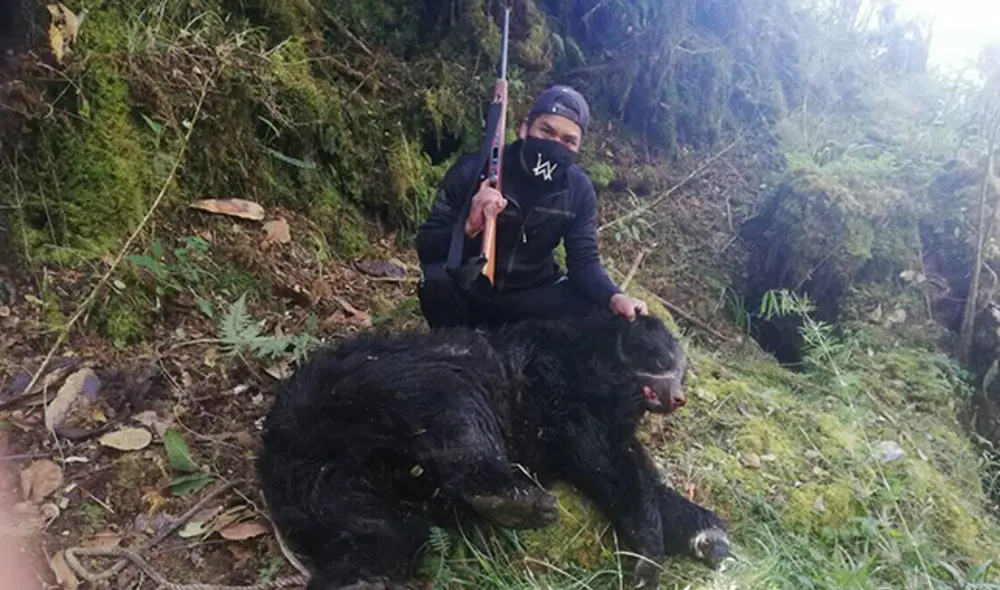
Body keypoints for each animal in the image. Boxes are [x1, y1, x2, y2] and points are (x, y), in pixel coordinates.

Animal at [255, 310, 731, 590]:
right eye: (663, 360)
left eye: (684, 371)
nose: (679, 397)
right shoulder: (564, 399)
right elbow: (613, 468)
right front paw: (648, 560)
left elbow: (643, 478)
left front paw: (709, 537)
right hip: (396, 380)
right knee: (458, 414)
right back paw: (516, 500)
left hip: (326, 485)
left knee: (372, 535)